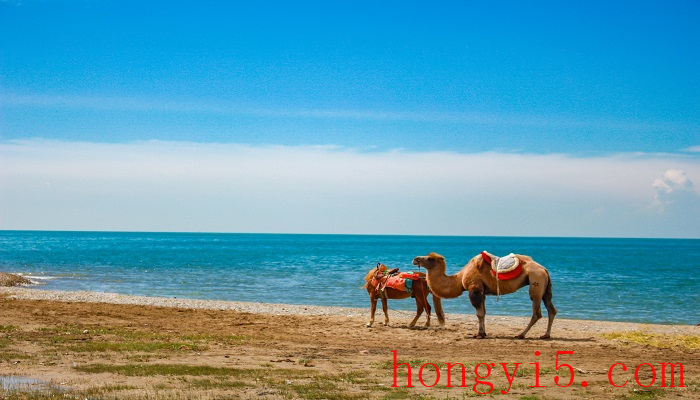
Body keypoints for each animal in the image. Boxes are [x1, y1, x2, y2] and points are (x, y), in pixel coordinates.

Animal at [412, 252, 556, 340]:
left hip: (536, 282)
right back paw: (546, 335)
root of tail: (544, 269)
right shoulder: (482, 292)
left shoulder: (474, 289)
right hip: (545, 287)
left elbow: (479, 313)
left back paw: (521, 334)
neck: (460, 278)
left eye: (430, 258)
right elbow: (484, 312)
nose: (415, 259)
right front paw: (484, 333)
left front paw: (479, 334)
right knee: (551, 309)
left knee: (537, 312)